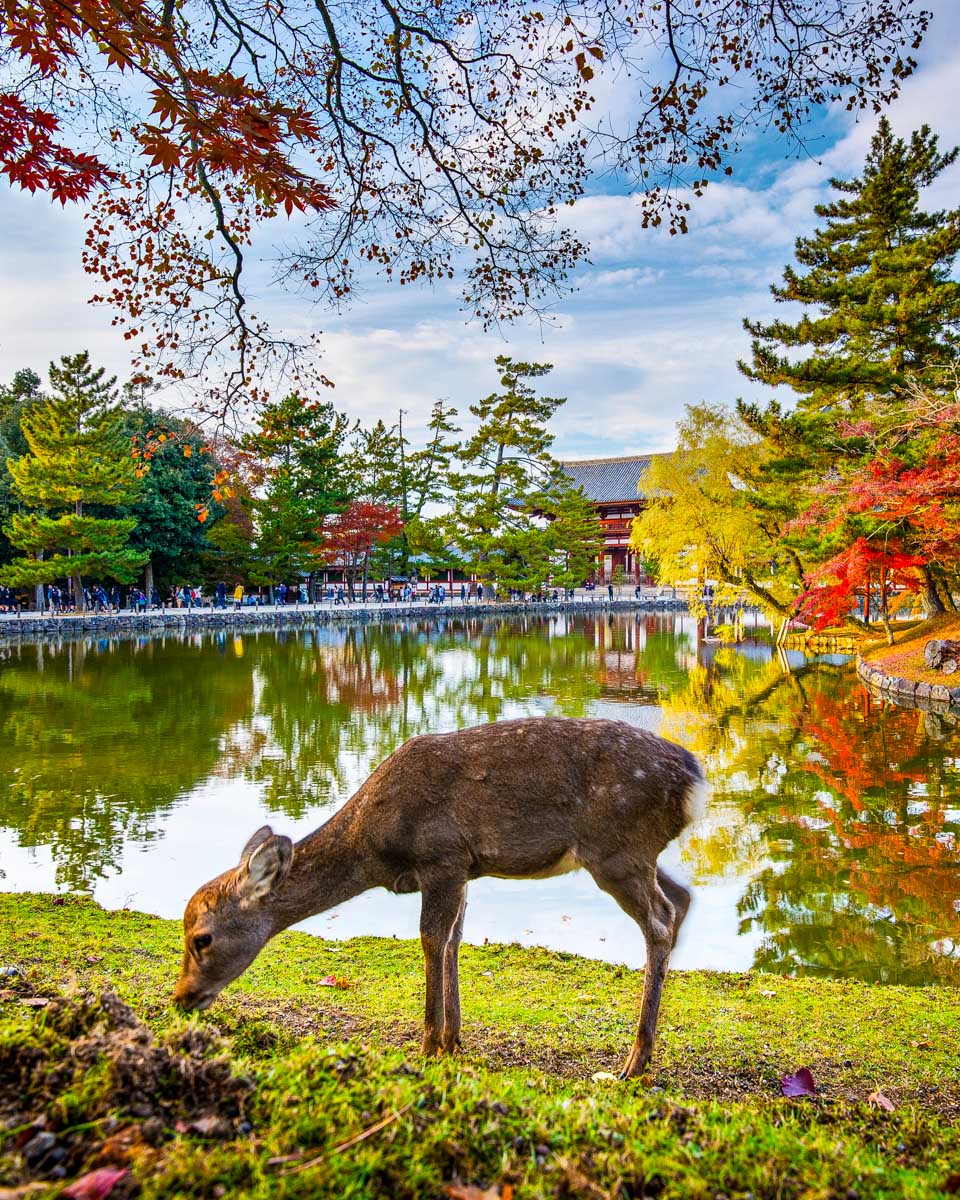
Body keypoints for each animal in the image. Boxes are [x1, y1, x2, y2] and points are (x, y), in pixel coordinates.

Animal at [173, 717, 706, 1078]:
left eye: (201, 938)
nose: (180, 999)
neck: (375, 845)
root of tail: (694, 779)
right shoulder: (464, 868)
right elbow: (453, 940)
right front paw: (453, 1040)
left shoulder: (442, 857)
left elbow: (432, 939)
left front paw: (429, 1044)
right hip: (634, 853)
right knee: (681, 898)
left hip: (616, 847)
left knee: (660, 919)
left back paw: (633, 1062)